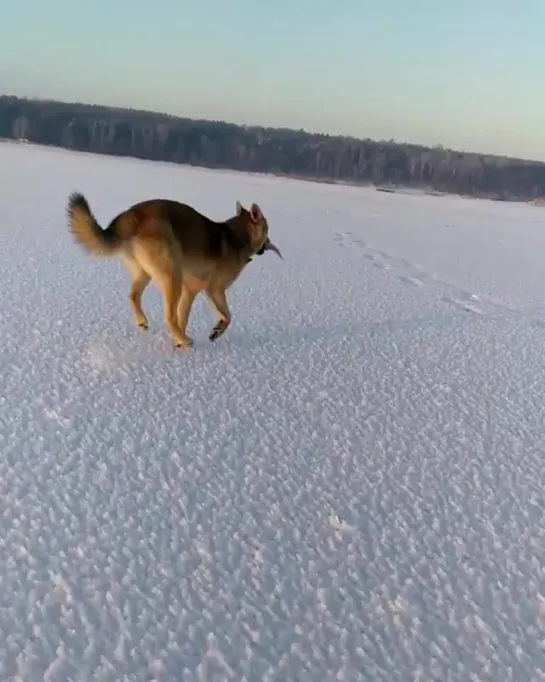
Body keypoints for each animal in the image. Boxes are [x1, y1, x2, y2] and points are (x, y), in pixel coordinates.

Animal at [66, 193, 282, 348]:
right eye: (268, 229)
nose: (271, 243)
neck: (239, 236)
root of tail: (132, 215)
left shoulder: (190, 290)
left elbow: (183, 316)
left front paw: (180, 340)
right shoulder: (214, 289)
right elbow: (227, 316)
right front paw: (215, 331)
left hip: (147, 273)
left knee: (134, 296)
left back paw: (145, 323)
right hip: (172, 275)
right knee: (168, 317)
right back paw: (185, 340)